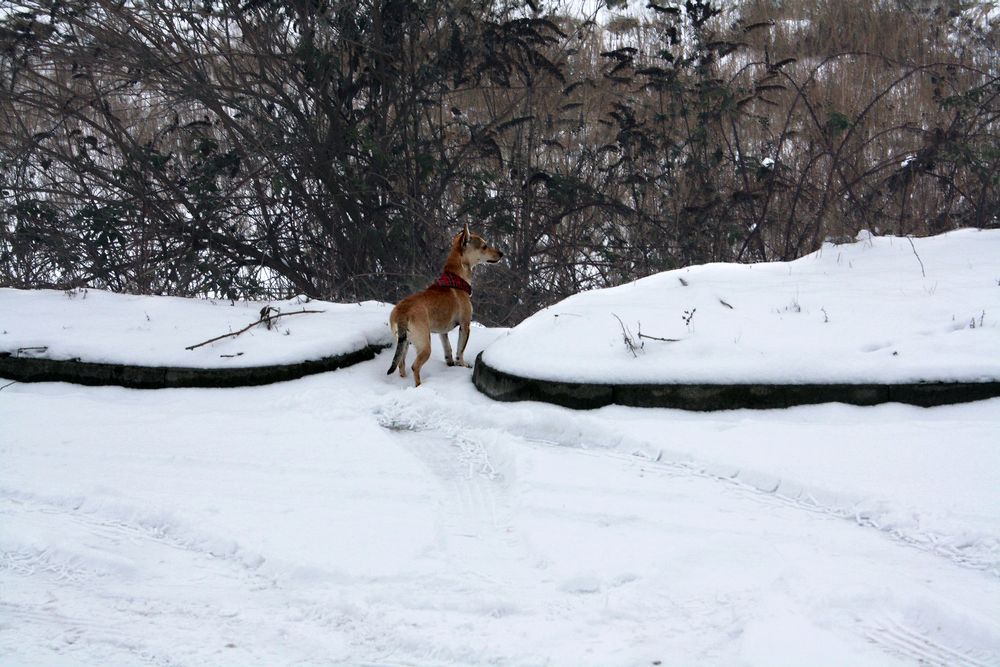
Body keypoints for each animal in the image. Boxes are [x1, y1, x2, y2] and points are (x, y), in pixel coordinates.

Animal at [386, 224, 504, 386]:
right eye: (484, 246)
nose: (501, 253)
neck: (456, 278)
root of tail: (403, 313)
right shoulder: (465, 325)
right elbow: (460, 350)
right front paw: (462, 365)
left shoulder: (443, 332)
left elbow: (448, 349)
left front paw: (450, 364)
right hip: (424, 345)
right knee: (415, 366)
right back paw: (419, 386)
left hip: (404, 343)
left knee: (401, 364)